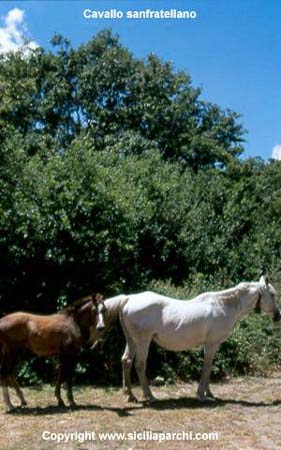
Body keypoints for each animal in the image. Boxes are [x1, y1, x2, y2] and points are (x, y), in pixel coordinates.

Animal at [104, 276, 278, 402]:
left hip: (131, 340)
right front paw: (202, 395)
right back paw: (150, 396)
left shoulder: (210, 345)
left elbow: (208, 367)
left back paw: (130, 395)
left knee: (126, 361)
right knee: (140, 365)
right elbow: (206, 367)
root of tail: (128, 299)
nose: (278, 315)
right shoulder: (212, 344)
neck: (223, 305)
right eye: (273, 294)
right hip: (142, 341)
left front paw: (209, 393)